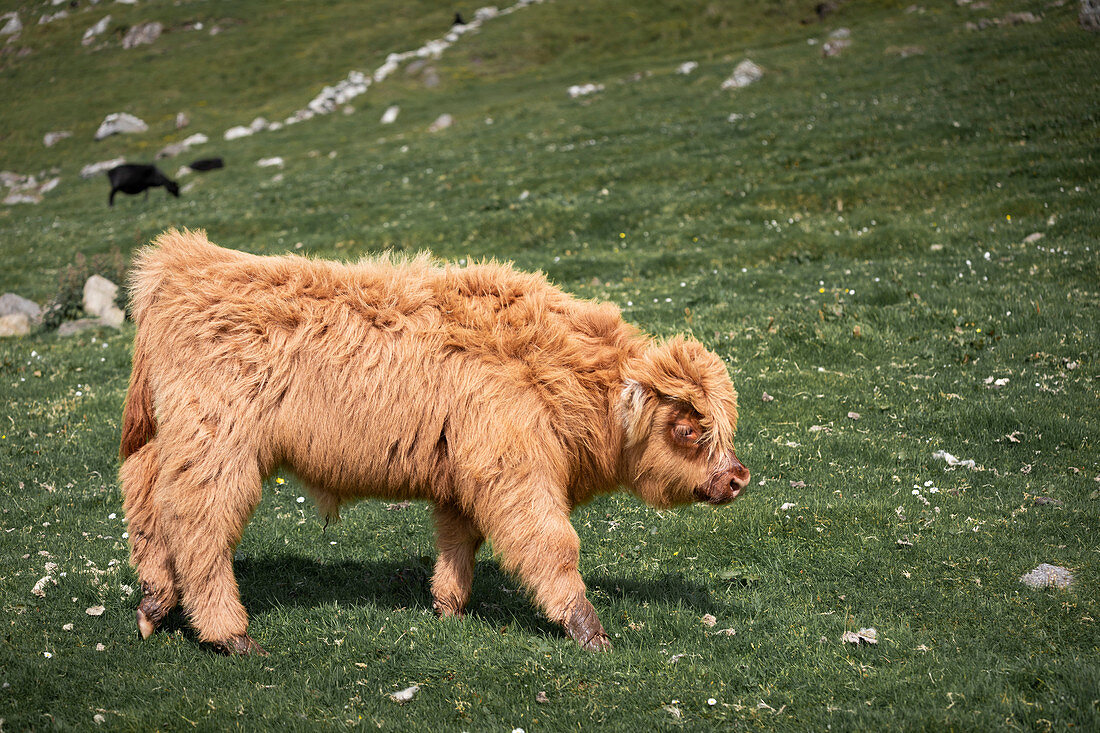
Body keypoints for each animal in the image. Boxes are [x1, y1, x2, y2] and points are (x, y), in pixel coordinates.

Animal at [120, 226, 752, 651]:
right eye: (688, 429)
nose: (738, 478)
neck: (555, 371)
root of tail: (181, 261)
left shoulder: (462, 476)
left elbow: (457, 544)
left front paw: (448, 610)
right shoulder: (514, 472)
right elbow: (552, 547)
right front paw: (588, 631)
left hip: (165, 442)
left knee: (149, 511)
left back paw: (155, 606)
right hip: (217, 447)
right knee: (198, 527)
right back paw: (230, 635)